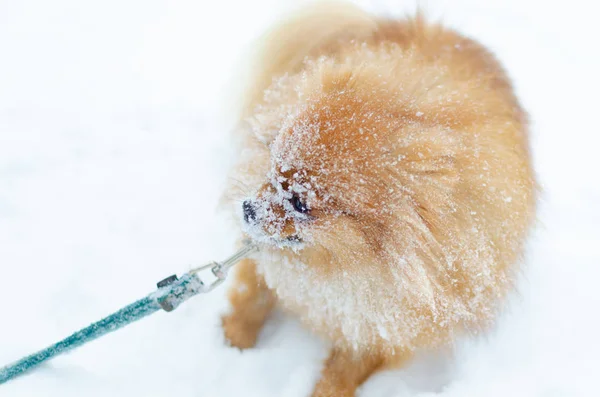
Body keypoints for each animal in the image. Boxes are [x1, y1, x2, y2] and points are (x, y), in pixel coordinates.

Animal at [219, 1, 536, 394]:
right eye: (273, 170)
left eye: (301, 204)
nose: (248, 209)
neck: (350, 266)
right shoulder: (266, 255)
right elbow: (251, 294)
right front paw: (234, 343)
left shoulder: (385, 325)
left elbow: (342, 373)